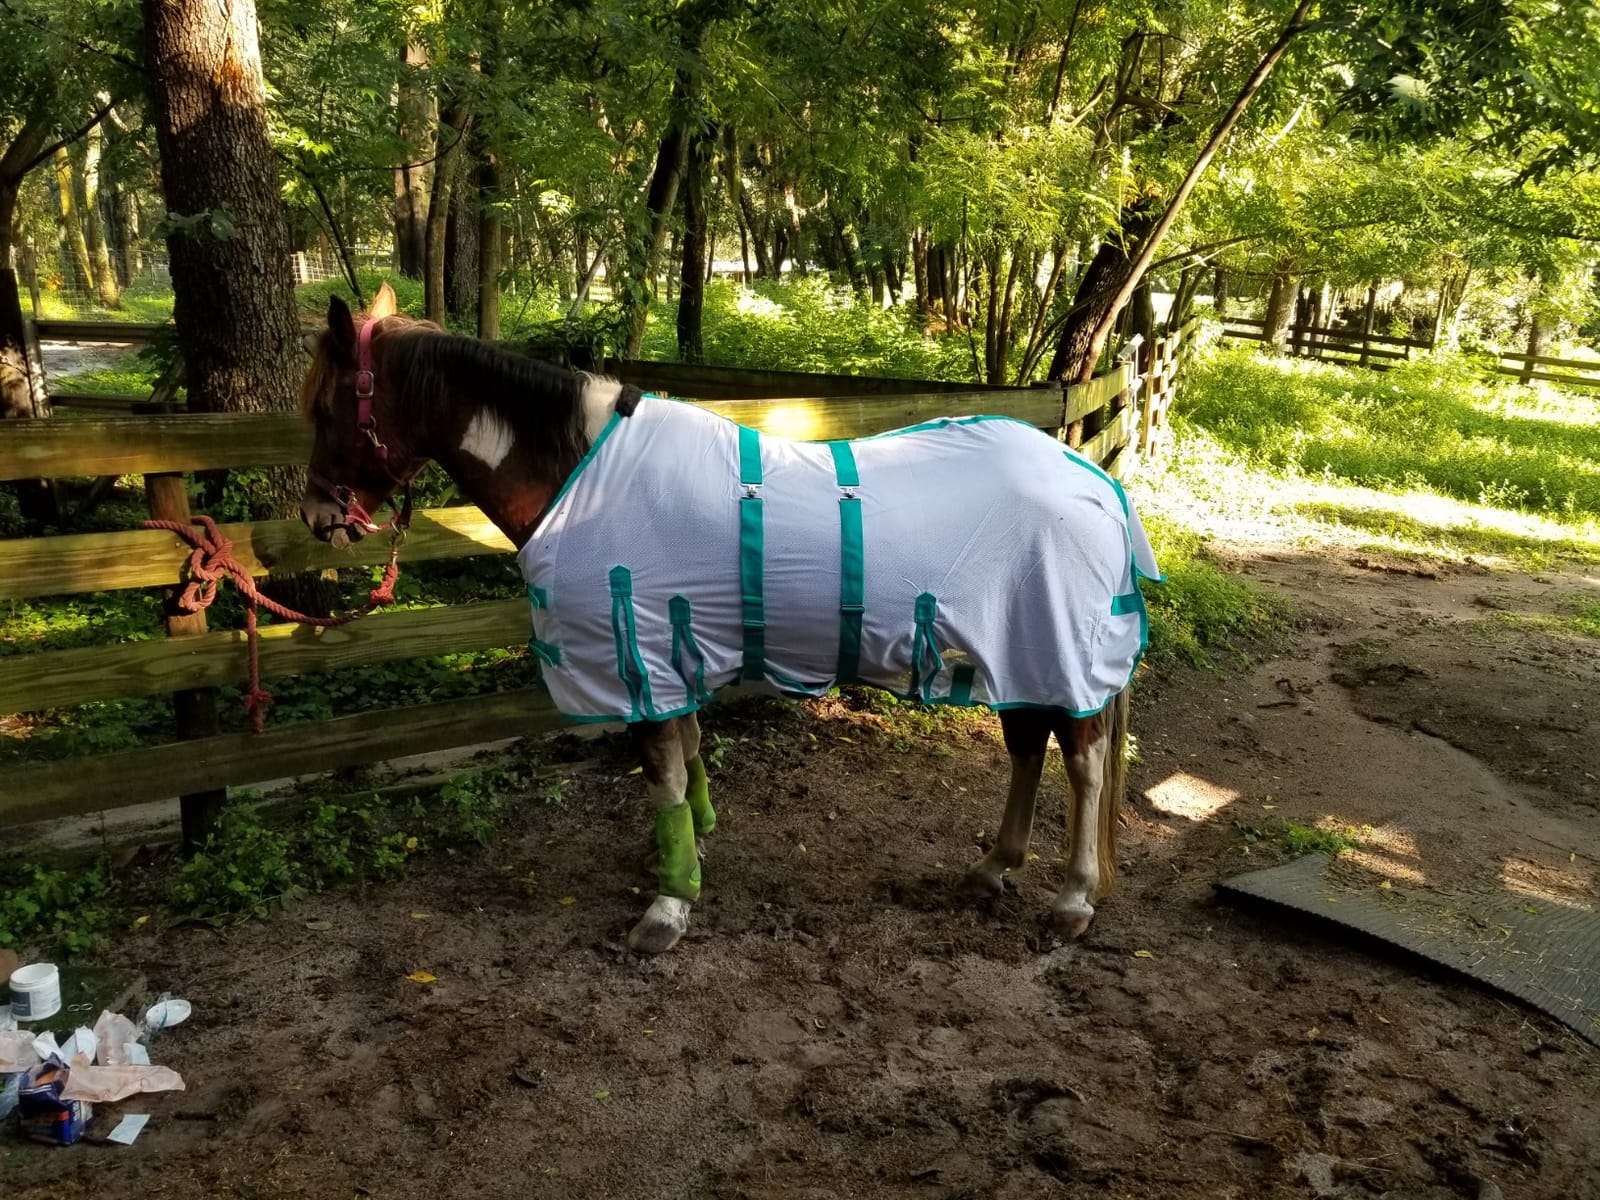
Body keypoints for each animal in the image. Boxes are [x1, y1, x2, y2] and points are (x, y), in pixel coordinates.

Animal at [297, 283, 1160, 955]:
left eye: (324, 409)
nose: (316, 518)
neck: (586, 477)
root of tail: (1091, 476)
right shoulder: (670, 644)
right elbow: (686, 753)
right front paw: (692, 846)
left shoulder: (636, 655)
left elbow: (662, 771)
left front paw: (668, 905)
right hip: (1013, 649)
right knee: (1027, 747)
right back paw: (992, 868)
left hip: (1052, 647)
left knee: (1081, 763)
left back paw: (1073, 900)